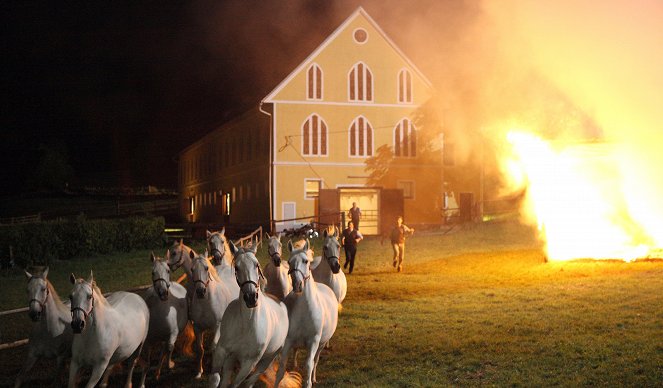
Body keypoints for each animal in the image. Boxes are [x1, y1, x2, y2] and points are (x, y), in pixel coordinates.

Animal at [139, 252, 192, 384]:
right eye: (153, 272)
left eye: (168, 270)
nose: (163, 293)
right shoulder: (148, 341)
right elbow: (147, 363)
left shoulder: (173, 333)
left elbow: (169, 348)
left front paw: (169, 365)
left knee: (166, 348)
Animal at [208, 242, 300, 388]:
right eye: (237, 267)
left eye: (256, 264)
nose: (251, 297)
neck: (246, 325)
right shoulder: (222, 351)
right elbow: (215, 379)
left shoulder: (250, 363)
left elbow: (236, 384)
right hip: (231, 358)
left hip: (266, 360)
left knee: (250, 382)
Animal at [274, 239, 338, 388]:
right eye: (290, 261)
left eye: (305, 261)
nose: (297, 285)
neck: (305, 310)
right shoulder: (288, 341)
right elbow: (281, 368)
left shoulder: (313, 341)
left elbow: (309, 365)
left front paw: (309, 382)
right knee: (296, 351)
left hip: (321, 344)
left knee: (315, 361)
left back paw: (314, 378)